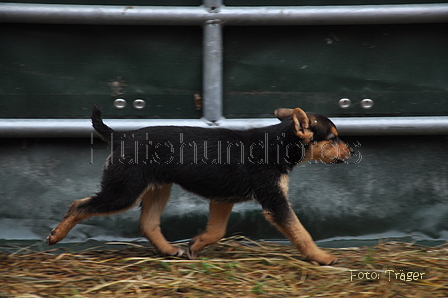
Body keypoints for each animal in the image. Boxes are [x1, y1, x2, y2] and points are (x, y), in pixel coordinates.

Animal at [46, 105, 354, 266]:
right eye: (333, 139)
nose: (351, 152)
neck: (277, 144)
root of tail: (122, 137)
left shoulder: (222, 199)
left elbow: (217, 231)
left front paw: (196, 245)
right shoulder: (274, 202)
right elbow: (300, 232)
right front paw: (322, 257)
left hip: (158, 188)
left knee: (147, 223)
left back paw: (171, 251)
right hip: (124, 192)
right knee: (79, 205)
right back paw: (56, 236)